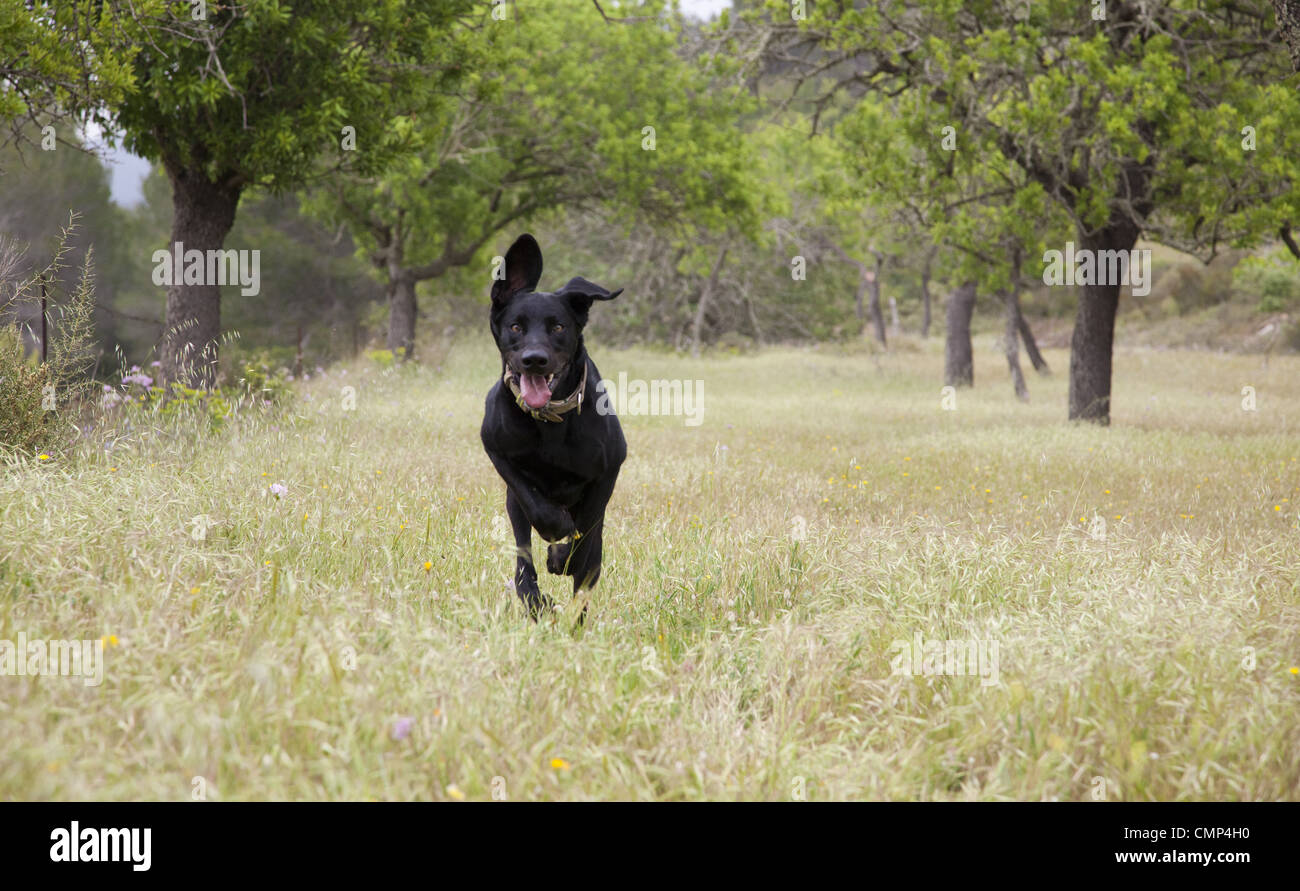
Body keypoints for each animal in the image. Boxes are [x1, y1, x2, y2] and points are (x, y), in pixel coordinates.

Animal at [480, 232, 626, 613]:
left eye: (558, 326)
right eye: (516, 326)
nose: (535, 359)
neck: (549, 422)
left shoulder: (609, 469)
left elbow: (585, 535)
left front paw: (563, 556)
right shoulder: (496, 448)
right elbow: (533, 504)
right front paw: (555, 526)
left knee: (587, 564)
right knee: (523, 557)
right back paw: (533, 596)